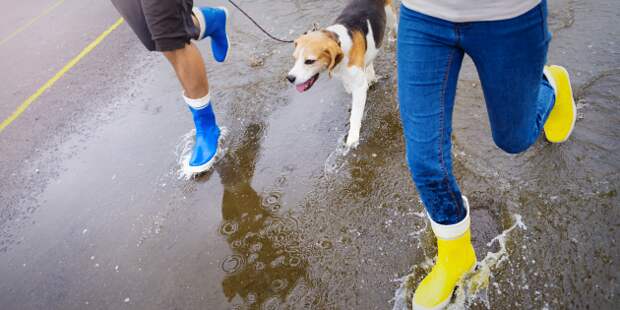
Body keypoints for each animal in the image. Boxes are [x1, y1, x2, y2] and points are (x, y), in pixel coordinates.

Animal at [286, 0, 398, 149]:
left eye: (309, 61)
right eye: (295, 58)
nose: (290, 78)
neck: (339, 42)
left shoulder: (359, 88)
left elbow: (355, 115)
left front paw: (352, 138)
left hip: (391, 18)